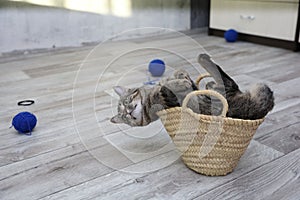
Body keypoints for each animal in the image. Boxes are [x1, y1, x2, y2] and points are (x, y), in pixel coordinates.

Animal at [110, 53, 274, 126]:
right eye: (124, 117)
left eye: (127, 101)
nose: (129, 112)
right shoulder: (168, 96)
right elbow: (168, 87)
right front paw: (178, 82)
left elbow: (179, 76)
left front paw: (180, 76)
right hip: (226, 90)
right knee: (223, 76)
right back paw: (204, 60)